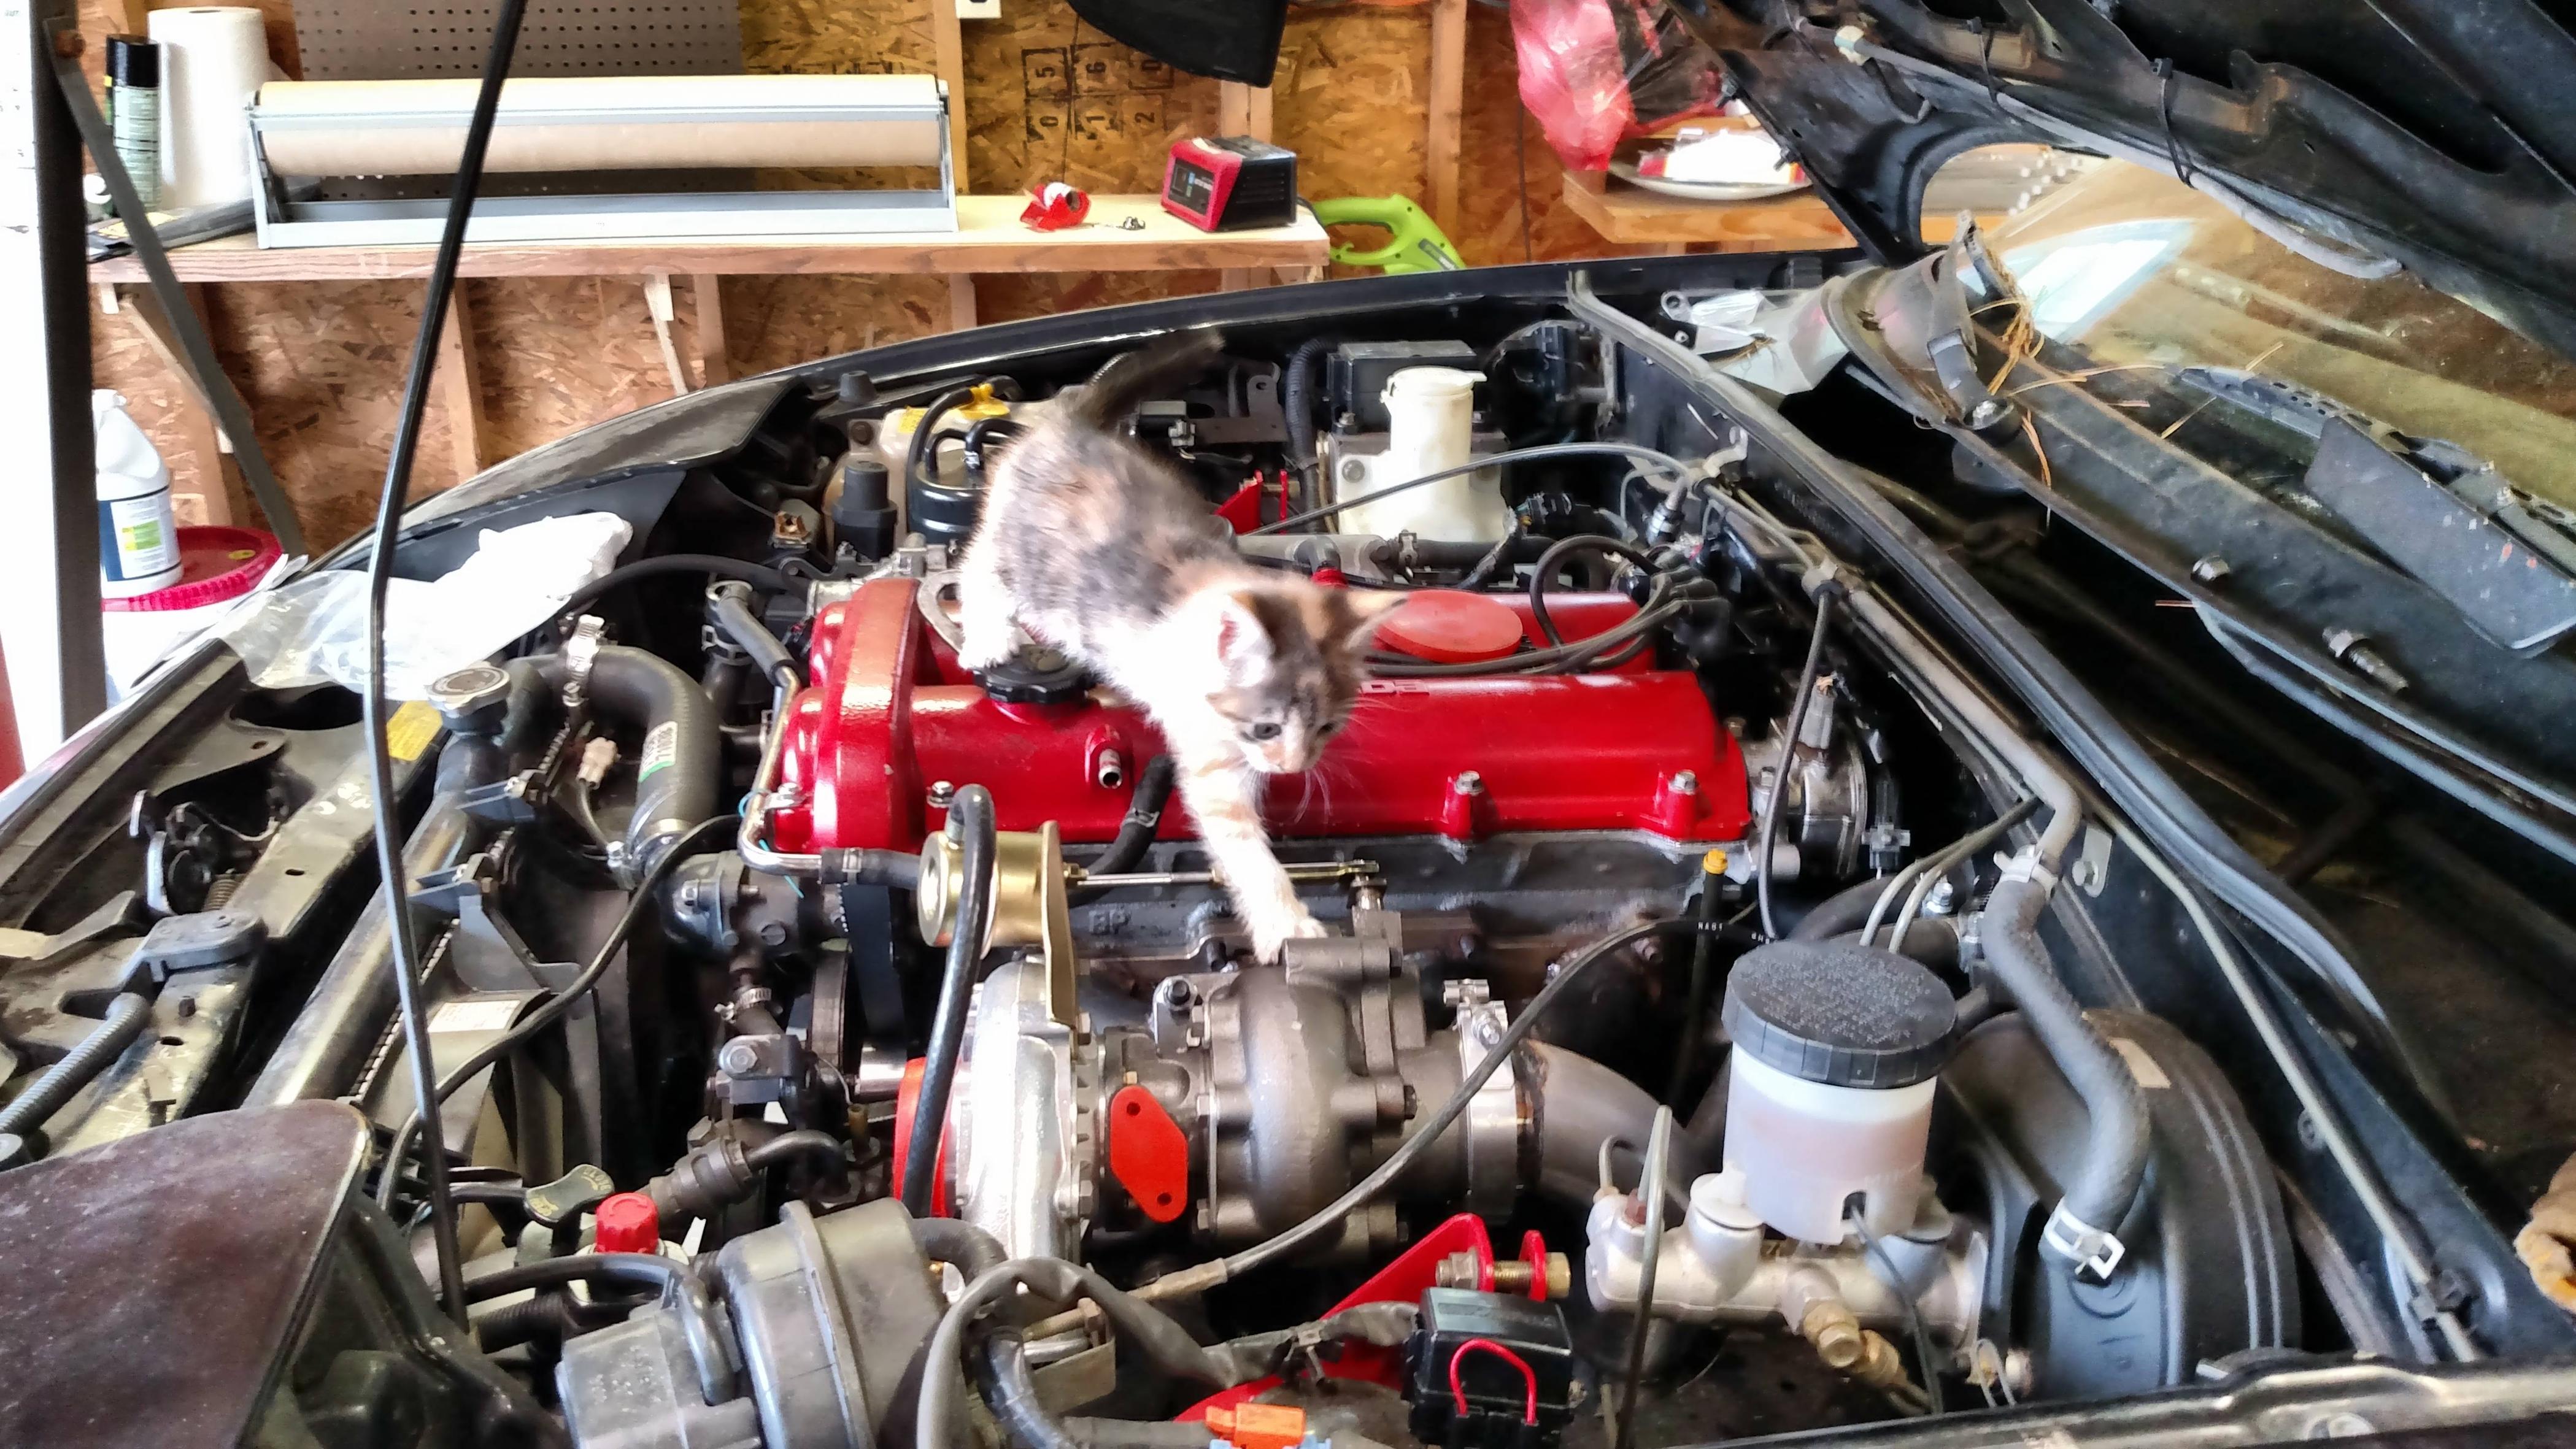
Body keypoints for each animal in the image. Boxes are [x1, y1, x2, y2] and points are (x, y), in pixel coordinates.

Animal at [952, 330, 1400, 961]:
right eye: (1266, 726)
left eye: (1327, 729)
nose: (1291, 768)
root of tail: (1071, 424)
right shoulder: (1208, 755)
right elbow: (1244, 846)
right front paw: (1287, 925)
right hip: (1017, 553)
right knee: (976, 569)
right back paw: (989, 637)